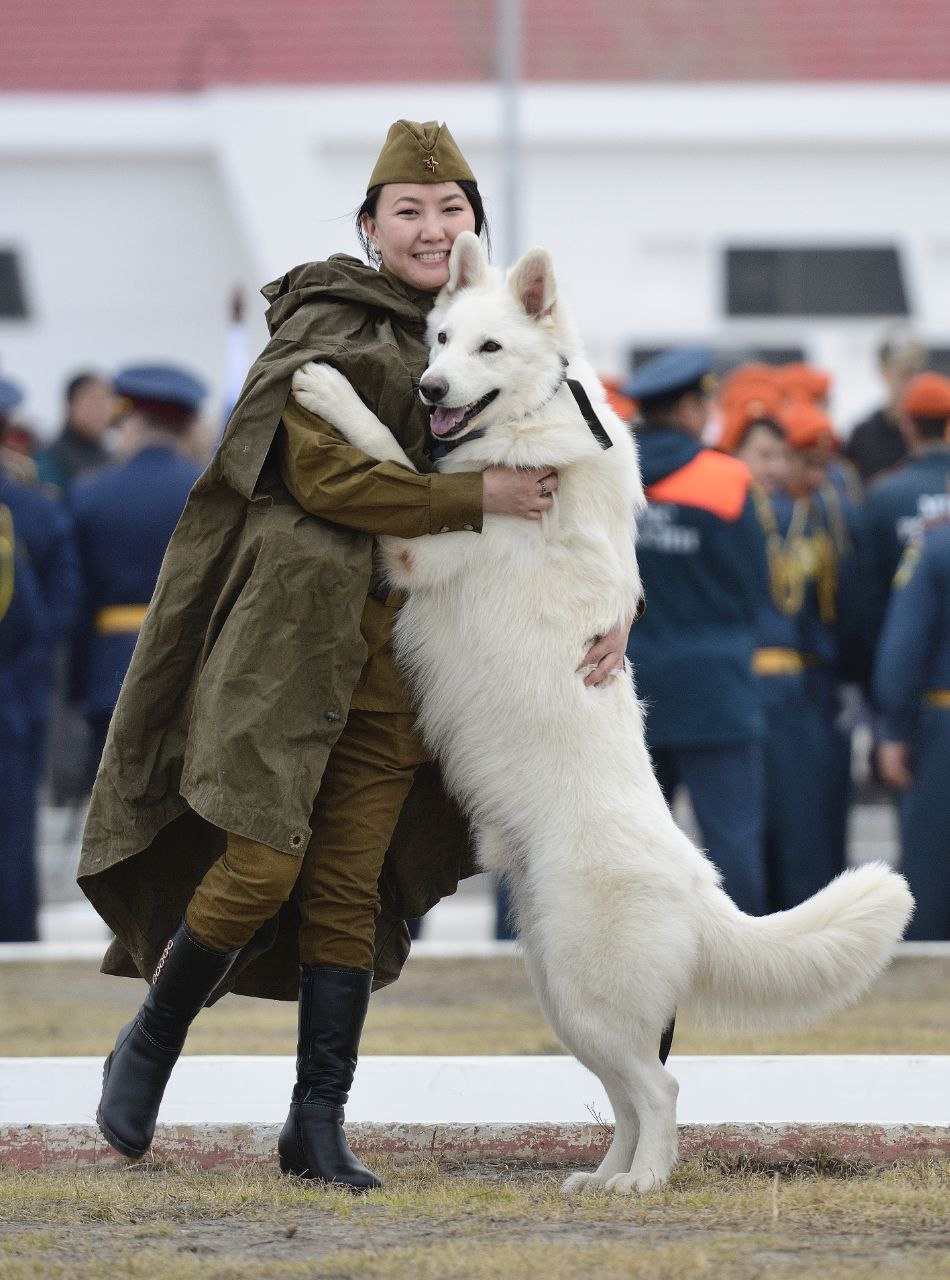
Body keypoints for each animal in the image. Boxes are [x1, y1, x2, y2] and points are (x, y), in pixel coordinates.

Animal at [291, 232, 916, 1198]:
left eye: (490, 349)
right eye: (440, 340)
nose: (431, 389)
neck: (533, 418)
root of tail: (699, 886)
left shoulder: (416, 546)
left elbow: (389, 456)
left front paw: (329, 393)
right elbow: (406, 459)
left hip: (586, 993)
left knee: (661, 1089)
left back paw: (645, 1182)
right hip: (566, 997)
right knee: (629, 1093)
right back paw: (605, 1177)